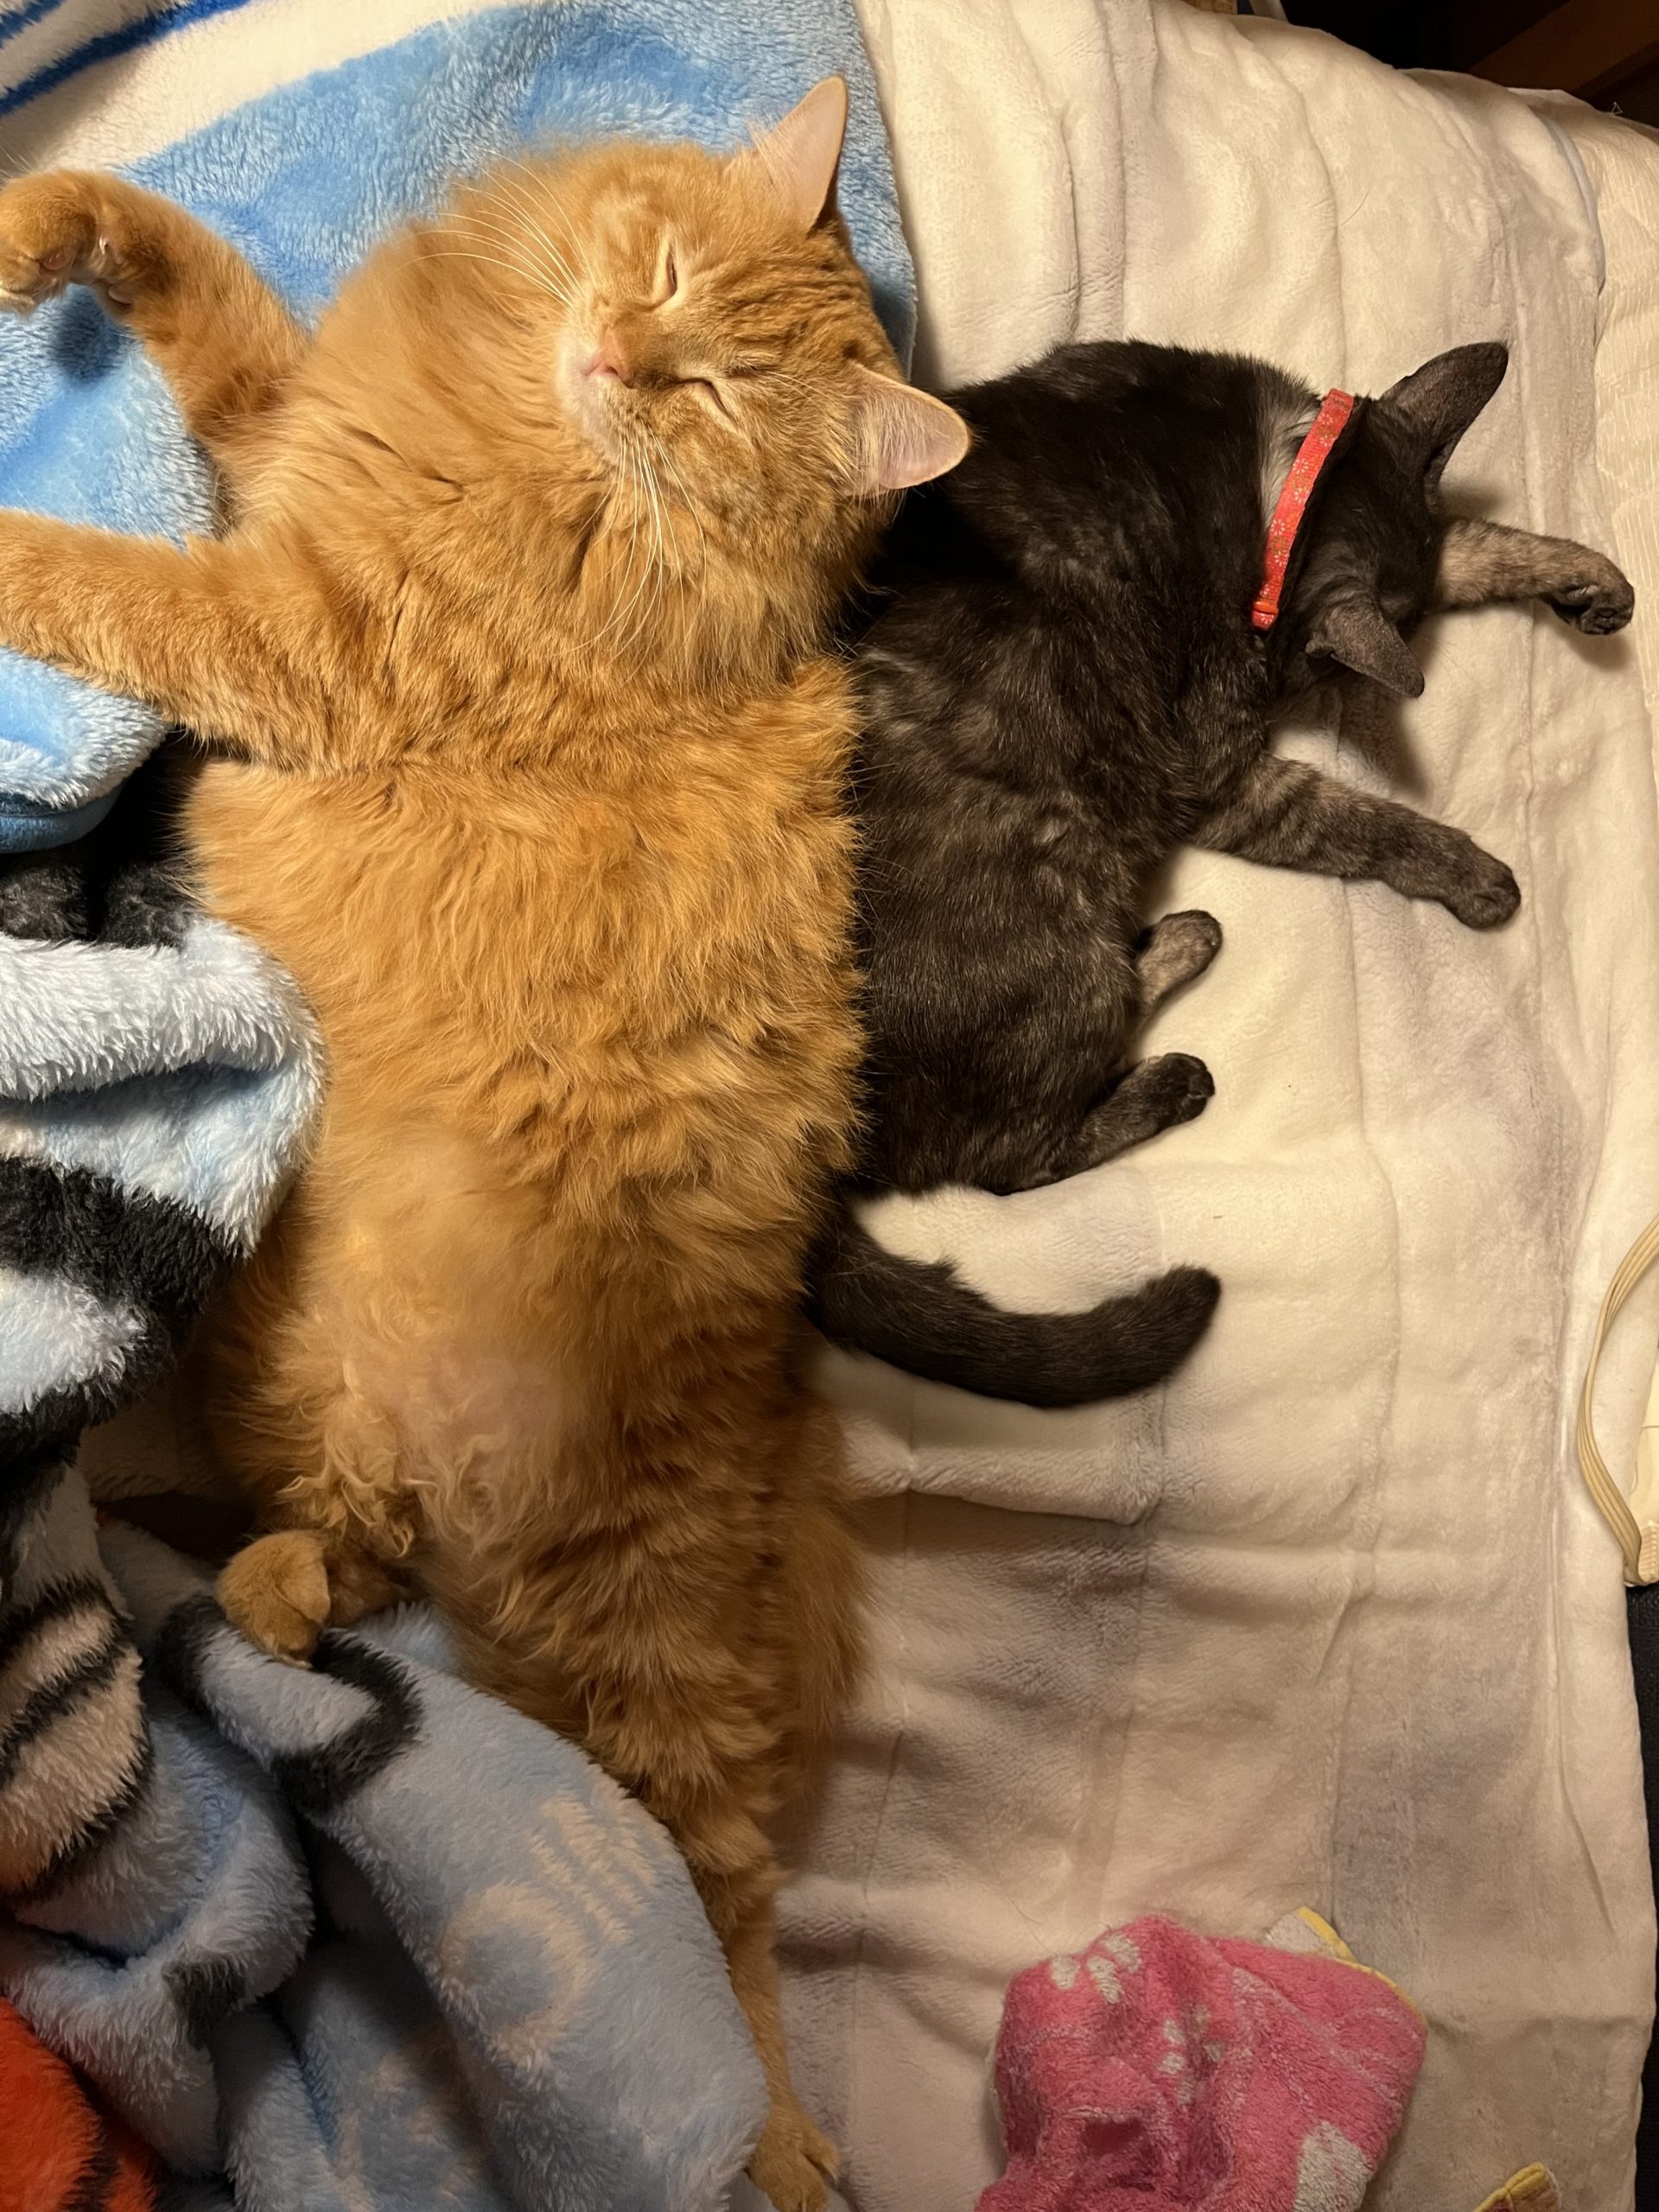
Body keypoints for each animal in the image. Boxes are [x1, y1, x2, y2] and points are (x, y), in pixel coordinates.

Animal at [0, 79, 968, 2210]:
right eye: (670, 275)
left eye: (719, 397)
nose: (626, 355)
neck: (536, 445)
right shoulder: (286, 442)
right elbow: (191, 283)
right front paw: (55, 225)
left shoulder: (294, 631)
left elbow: (96, 576)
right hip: (311, 1395)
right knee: (345, 1560)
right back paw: (262, 1606)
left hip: (646, 1652)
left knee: (725, 1908)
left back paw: (774, 2140)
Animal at [807, 337, 1634, 1408]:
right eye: (1318, 672)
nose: (1303, 684)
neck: (1268, 489)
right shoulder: (1218, 770)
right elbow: (1362, 820)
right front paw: (1476, 873)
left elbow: (1471, 542)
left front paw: (1593, 580)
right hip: (1058, 916)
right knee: (1008, 1157)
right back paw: (1175, 1039)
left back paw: (1174, 941)